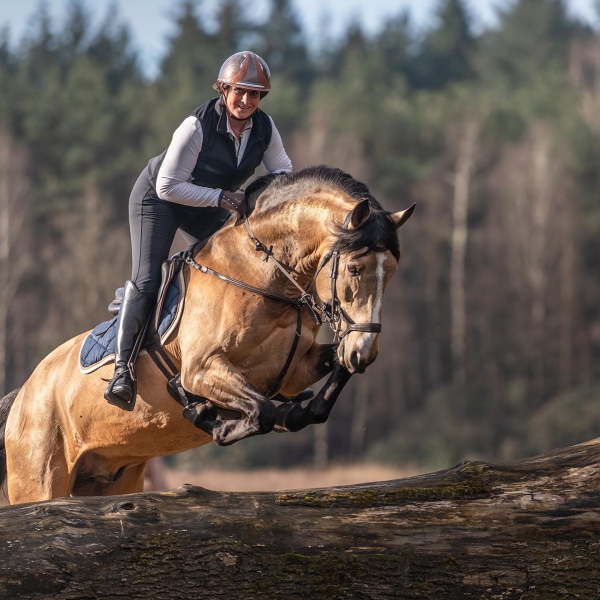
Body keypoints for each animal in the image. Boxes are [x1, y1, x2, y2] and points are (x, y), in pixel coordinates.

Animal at [0, 166, 414, 504]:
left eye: (392, 271)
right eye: (356, 269)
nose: (364, 352)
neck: (264, 278)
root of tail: (23, 395)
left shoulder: (294, 370)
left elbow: (320, 391)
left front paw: (299, 410)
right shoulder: (200, 369)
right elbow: (261, 410)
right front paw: (212, 419)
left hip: (112, 480)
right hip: (39, 481)